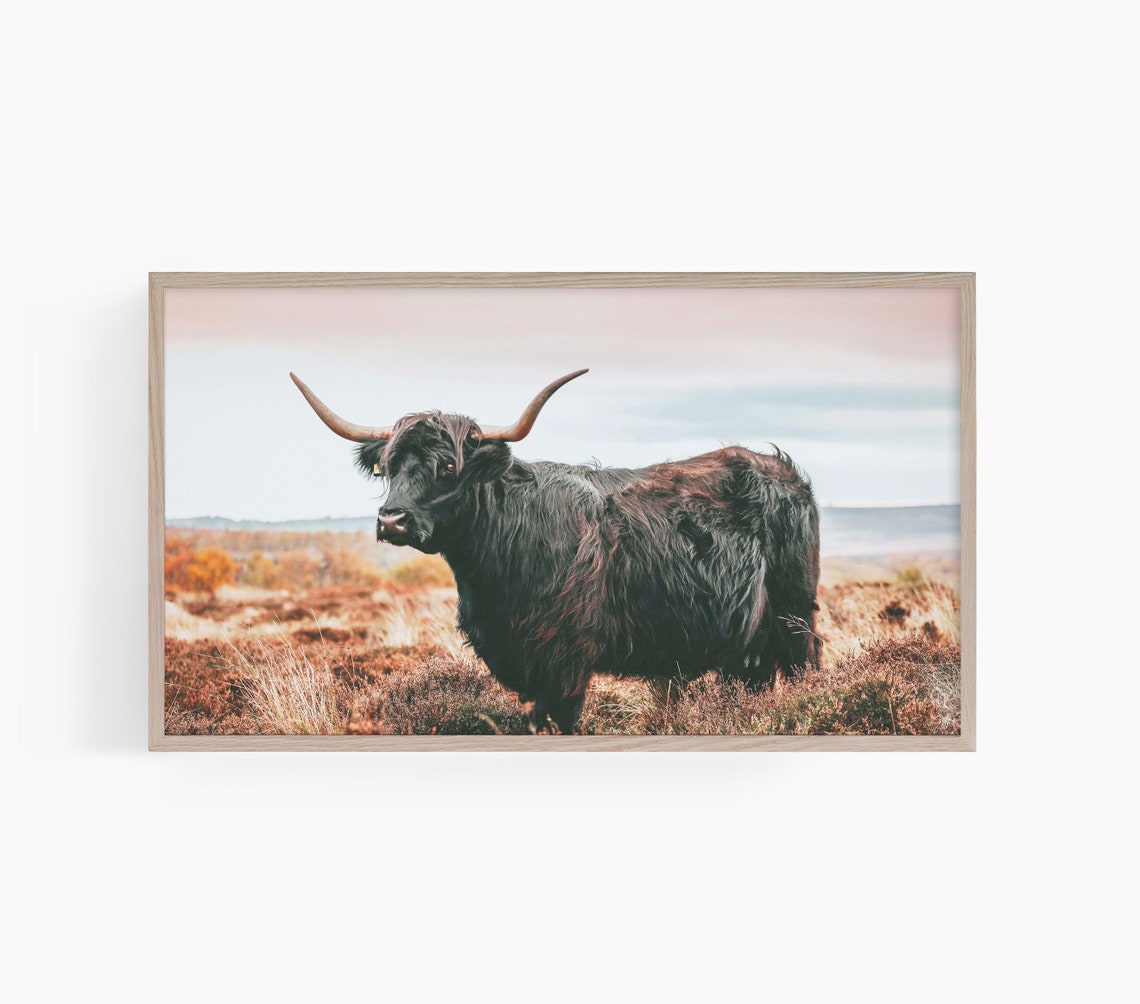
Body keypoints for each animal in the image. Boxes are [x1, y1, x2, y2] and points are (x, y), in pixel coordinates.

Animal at [291, 369, 821, 734]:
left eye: (448, 467)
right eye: (388, 465)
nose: (391, 521)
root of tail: (783, 470)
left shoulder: (565, 660)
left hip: (795, 614)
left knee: (803, 669)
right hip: (744, 642)